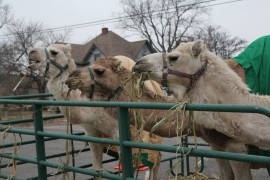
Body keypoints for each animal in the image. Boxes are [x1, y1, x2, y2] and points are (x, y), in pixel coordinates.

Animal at [27, 44, 162, 180]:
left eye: (54, 52)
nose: (31, 52)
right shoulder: (92, 133)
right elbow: (97, 171)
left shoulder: (119, 133)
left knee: (154, 160)